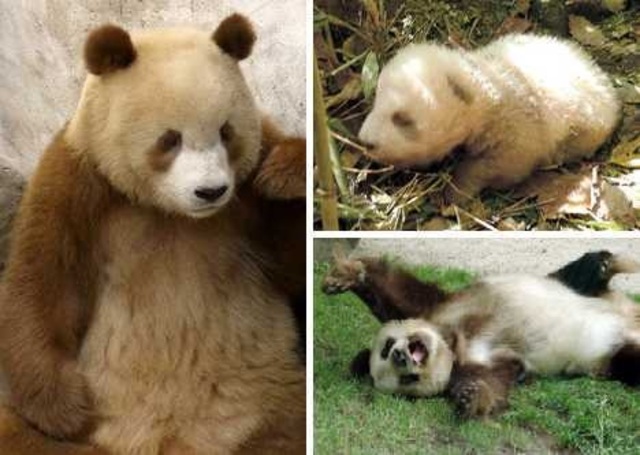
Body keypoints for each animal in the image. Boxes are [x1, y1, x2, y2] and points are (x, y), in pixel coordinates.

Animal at [0, 15, 305, 454]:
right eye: (170, 138)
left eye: (226, 131)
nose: (211, 191)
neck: (170, 212)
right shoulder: (82, 181)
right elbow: (44, 284)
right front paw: (66, 407)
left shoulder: (246, 193)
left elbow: (290, 266)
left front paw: (285, 175)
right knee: (15, 432)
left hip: (265, 395)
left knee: (289, 426)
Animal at [322, 250, 640, 417]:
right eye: (406, 380)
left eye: (387, 347)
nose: (401, 355)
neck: (457, 340)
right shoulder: (490, 363)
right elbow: (493, 385)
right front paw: (469, 397)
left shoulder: (436, 307)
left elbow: (398, 290)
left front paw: (345, 276)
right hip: (611, 359)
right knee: (630, 362)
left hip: (578, 293)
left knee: (581, 275)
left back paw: (603, 265)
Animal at [358, 34, 620, 203]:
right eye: (375, 99)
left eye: (402, 119)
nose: (365, 142)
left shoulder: (516, 121)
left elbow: (506, 162)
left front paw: (456, 190)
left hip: (585, 120)